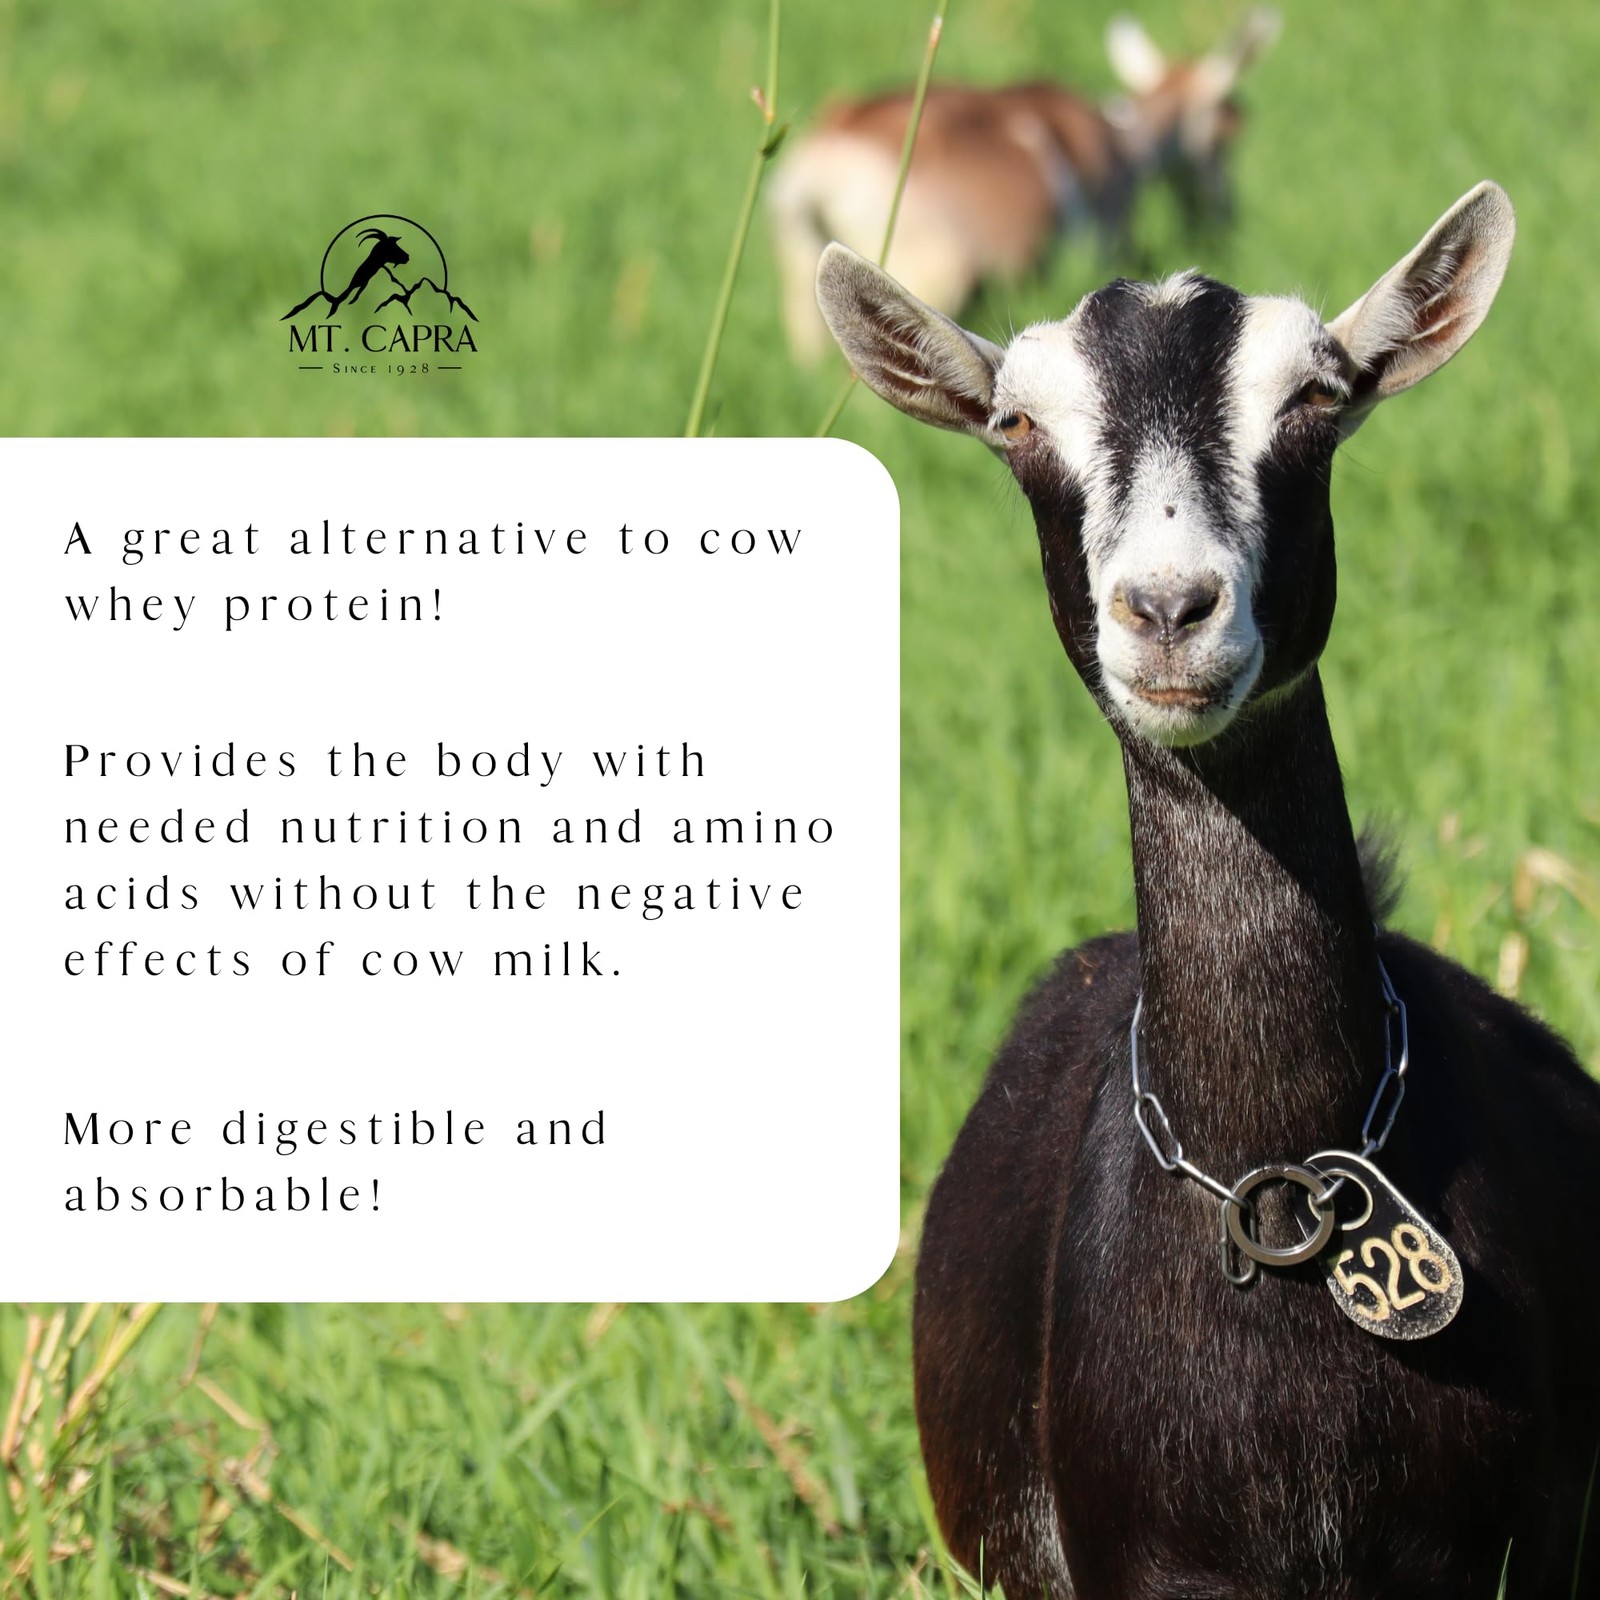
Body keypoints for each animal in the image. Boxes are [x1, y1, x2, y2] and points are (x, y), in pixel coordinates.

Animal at [771, 10, 1278, 363]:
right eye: (1226, 132)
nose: (1226, 214)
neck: (1126, 140)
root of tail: (827, 159)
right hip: (925, 272)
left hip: (804, 262)